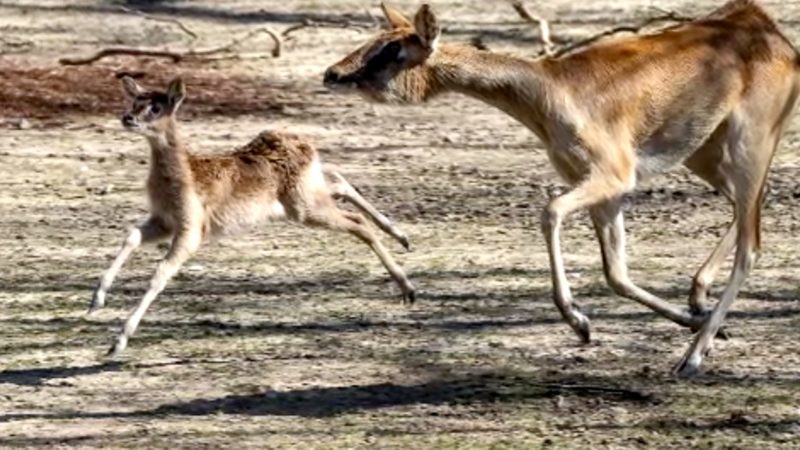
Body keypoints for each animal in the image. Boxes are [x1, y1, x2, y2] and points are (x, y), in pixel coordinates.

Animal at [322, 0, 800, 376]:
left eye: (393, 49)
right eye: (378, 36)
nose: (332, 73)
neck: (550, 91)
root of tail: (763, 24)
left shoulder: (613, 175)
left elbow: (549, 212)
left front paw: (578, 322)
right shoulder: (604, 191)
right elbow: (616, 273)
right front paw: (651, 321)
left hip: (748, 143)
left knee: (752, 244)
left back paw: (692, 358)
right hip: (705, 153)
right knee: (744, 213)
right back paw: (699, 304)